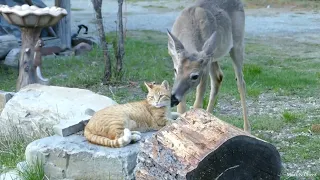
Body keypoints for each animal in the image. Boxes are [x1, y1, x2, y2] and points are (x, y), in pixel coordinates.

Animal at [166, 0, 251, 132]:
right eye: (175, 70)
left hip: (237, 43)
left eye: (195, 76)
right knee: (218, 77)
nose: (173, 98)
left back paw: (246, 129)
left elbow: (197, 104)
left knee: (241, 82)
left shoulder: (204, 69)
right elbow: (181, 108)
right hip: (213, 57)